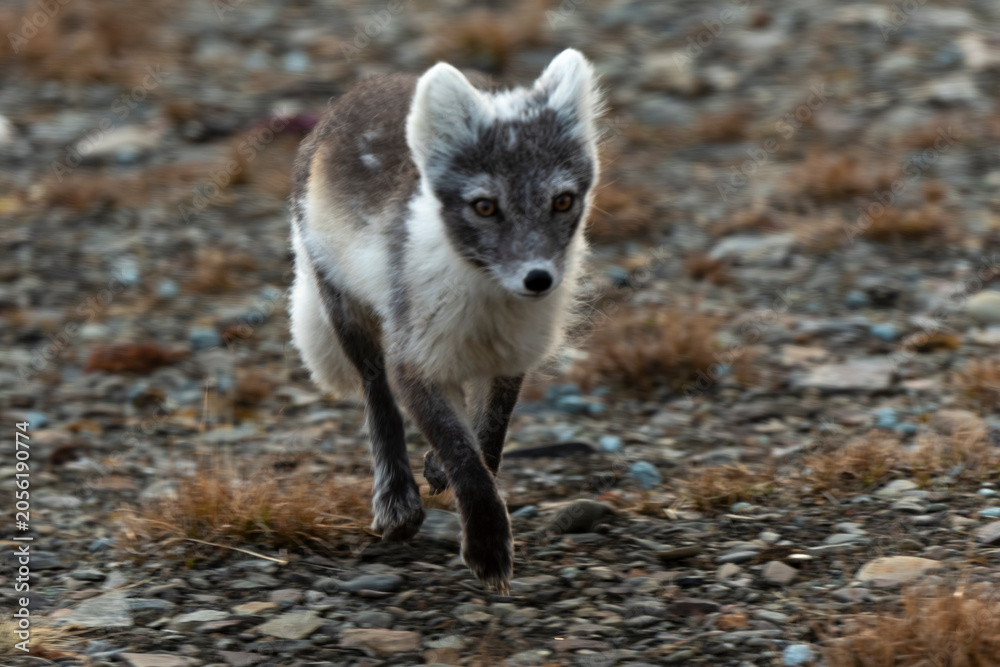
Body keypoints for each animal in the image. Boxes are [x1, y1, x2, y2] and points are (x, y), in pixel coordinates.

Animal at [288, 49, 603, 592]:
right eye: (485, 206)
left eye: (562, 200)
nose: (538, 279)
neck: (487, 300)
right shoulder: (415, 359)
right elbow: (462, 453)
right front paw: (488, 547)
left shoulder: (509, 362)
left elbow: (488, 439)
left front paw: (449, 473)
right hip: (343, 304)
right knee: (376, 396)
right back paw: (396, 500)